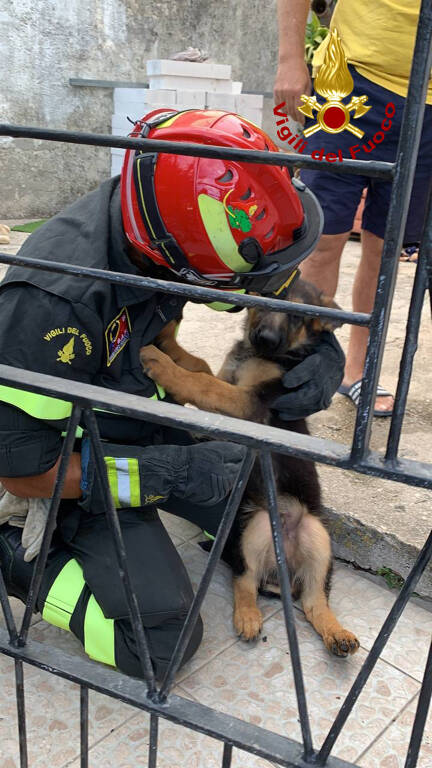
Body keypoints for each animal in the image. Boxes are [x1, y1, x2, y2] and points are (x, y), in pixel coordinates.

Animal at [140, 280, 360, 656]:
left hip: (310, 534)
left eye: (298, 317)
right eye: (268, 299)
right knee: (247, 580)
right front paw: (167, 339)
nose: (266, 339)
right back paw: (250, 617)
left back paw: (335, 633)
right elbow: (201, 368)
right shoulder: (229, 383)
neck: (266, 355)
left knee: (311, 600)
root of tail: (281, 572)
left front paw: (160, 362)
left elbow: (204, 383)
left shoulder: (249, 404)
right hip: (253, 532)